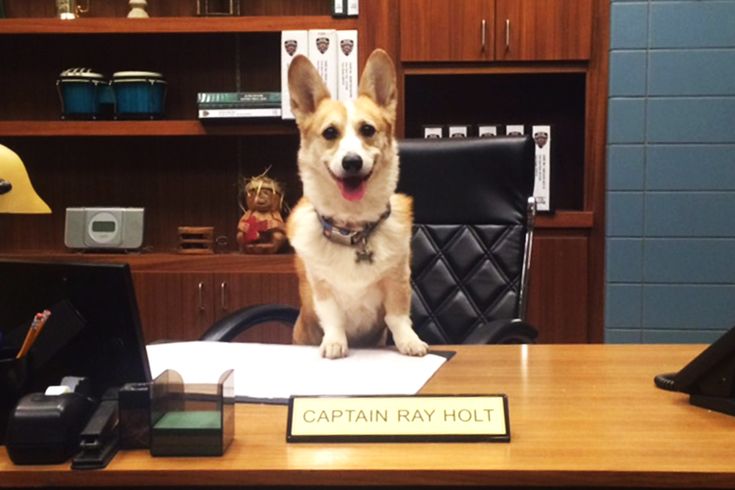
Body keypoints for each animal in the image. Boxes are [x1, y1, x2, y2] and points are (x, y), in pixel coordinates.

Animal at [284, 47, 428, 358]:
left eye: (368, 130)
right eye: (330, 133)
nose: (352, 162)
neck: (352, 227)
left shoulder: (398, 279)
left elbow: (398, 317)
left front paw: (410, 342)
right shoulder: (321, 287)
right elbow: (333, 318)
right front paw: (334, 343)